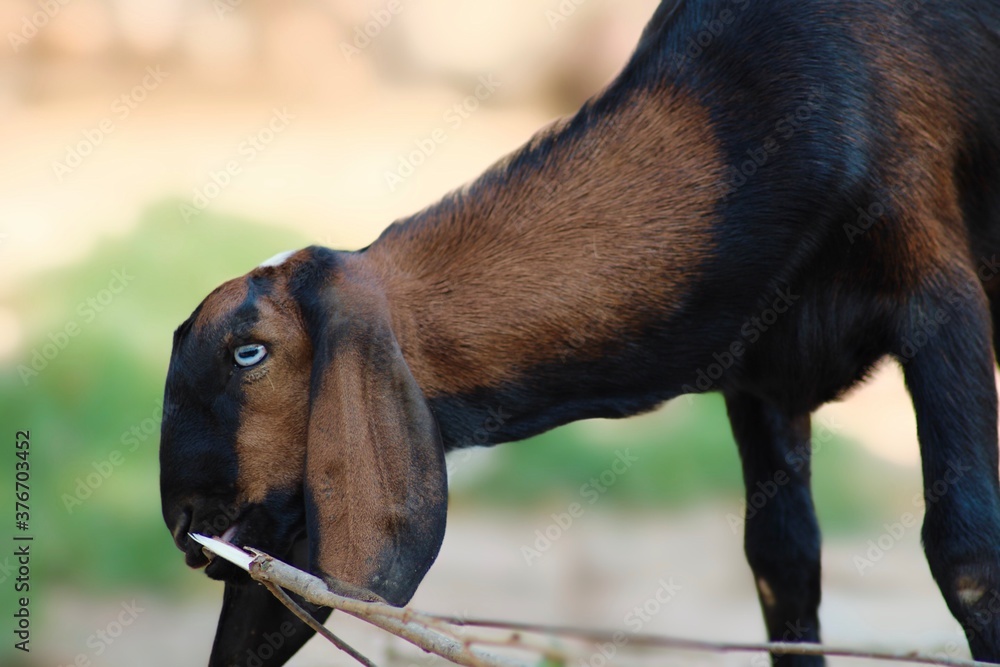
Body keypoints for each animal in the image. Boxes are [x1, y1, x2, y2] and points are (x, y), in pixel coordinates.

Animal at [160, 0, 1000, 665]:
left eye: (249, 351)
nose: (185, 524)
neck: (738, 127)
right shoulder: (759, 372)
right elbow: (782, 563)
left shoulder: (938, 298)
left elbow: (967, 551)